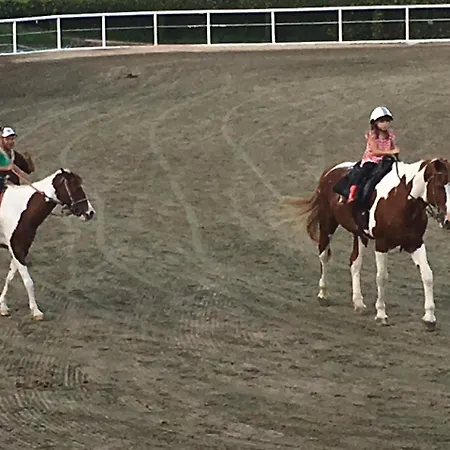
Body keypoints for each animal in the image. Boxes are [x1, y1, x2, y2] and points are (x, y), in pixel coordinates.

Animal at [0, 168, 95, 320]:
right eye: (75, 187)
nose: (90, 212)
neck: (20, 209)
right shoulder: (17, 249)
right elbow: (28, 281)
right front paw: (36, 311)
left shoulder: (21, 249)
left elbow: (10, 276)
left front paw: (2, 305)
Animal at [283, 157, 450, 331]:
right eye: (440, 185)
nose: (447, 220)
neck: (400, 200)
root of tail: (329, 171)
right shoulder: (382, 244)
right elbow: (382, 277)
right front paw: (381, 314)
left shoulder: (415, 243)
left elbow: (427, 275)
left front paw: (429, 318)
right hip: (327, 223)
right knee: (324, 255)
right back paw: (323, 294)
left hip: (360, 235)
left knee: (354, 263)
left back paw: (358, 303)